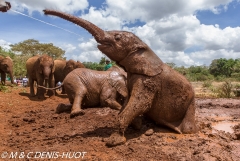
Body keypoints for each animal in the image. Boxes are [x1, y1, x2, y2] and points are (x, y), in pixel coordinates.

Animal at [43, 9, 197, 147]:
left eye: (117, 37)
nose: (44, 11)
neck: (145, 48)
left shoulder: (148, 82)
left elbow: (139, 104)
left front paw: (113, 141)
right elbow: (128, 103)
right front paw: (137, 124)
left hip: (191, 104)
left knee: (188, 127)